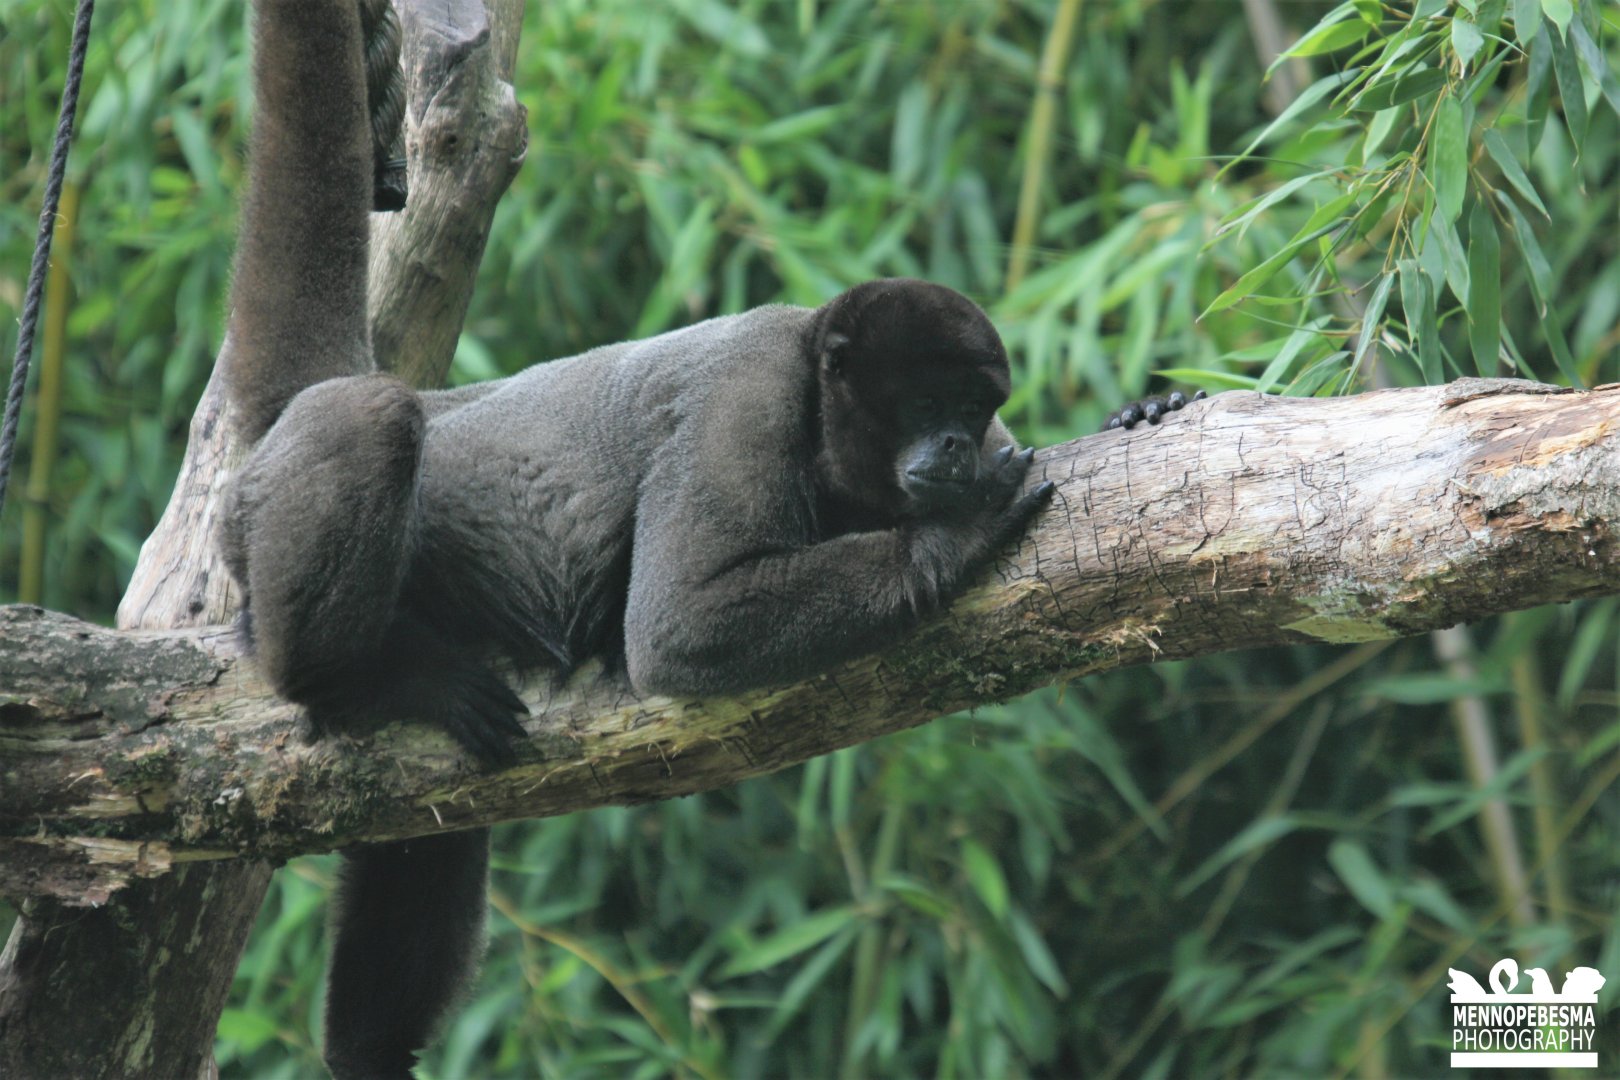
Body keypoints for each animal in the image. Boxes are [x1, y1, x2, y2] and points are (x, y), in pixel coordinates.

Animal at [218, 4, 1051, 1076]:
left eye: (970, 409)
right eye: (922, 405)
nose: (950, 445)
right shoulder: (749, 396)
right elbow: (678, 627)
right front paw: (956, 540)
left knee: (431, 839)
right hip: (270, 516)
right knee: (374, 419)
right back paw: (358, 677)